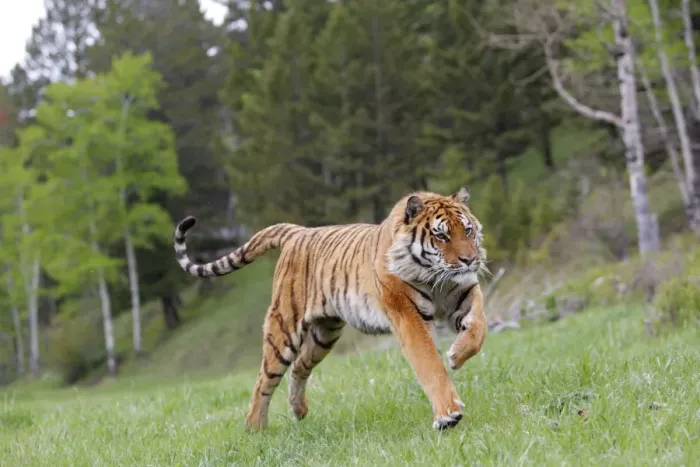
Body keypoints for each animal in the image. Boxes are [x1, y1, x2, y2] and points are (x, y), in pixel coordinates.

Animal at [173, 186, 488, 431]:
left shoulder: (464, 291)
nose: (470, 260)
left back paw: (299, 411)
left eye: (467, 230)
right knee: (264, 380)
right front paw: (448, 415)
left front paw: (457, 355)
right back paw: (255, 429)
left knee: (299, 366)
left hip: (324, 333)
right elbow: (429, 364)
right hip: (283, 329)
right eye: (441, 236)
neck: (436, 280)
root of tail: (297, 232)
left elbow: (479, 327)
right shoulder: (407, 316)